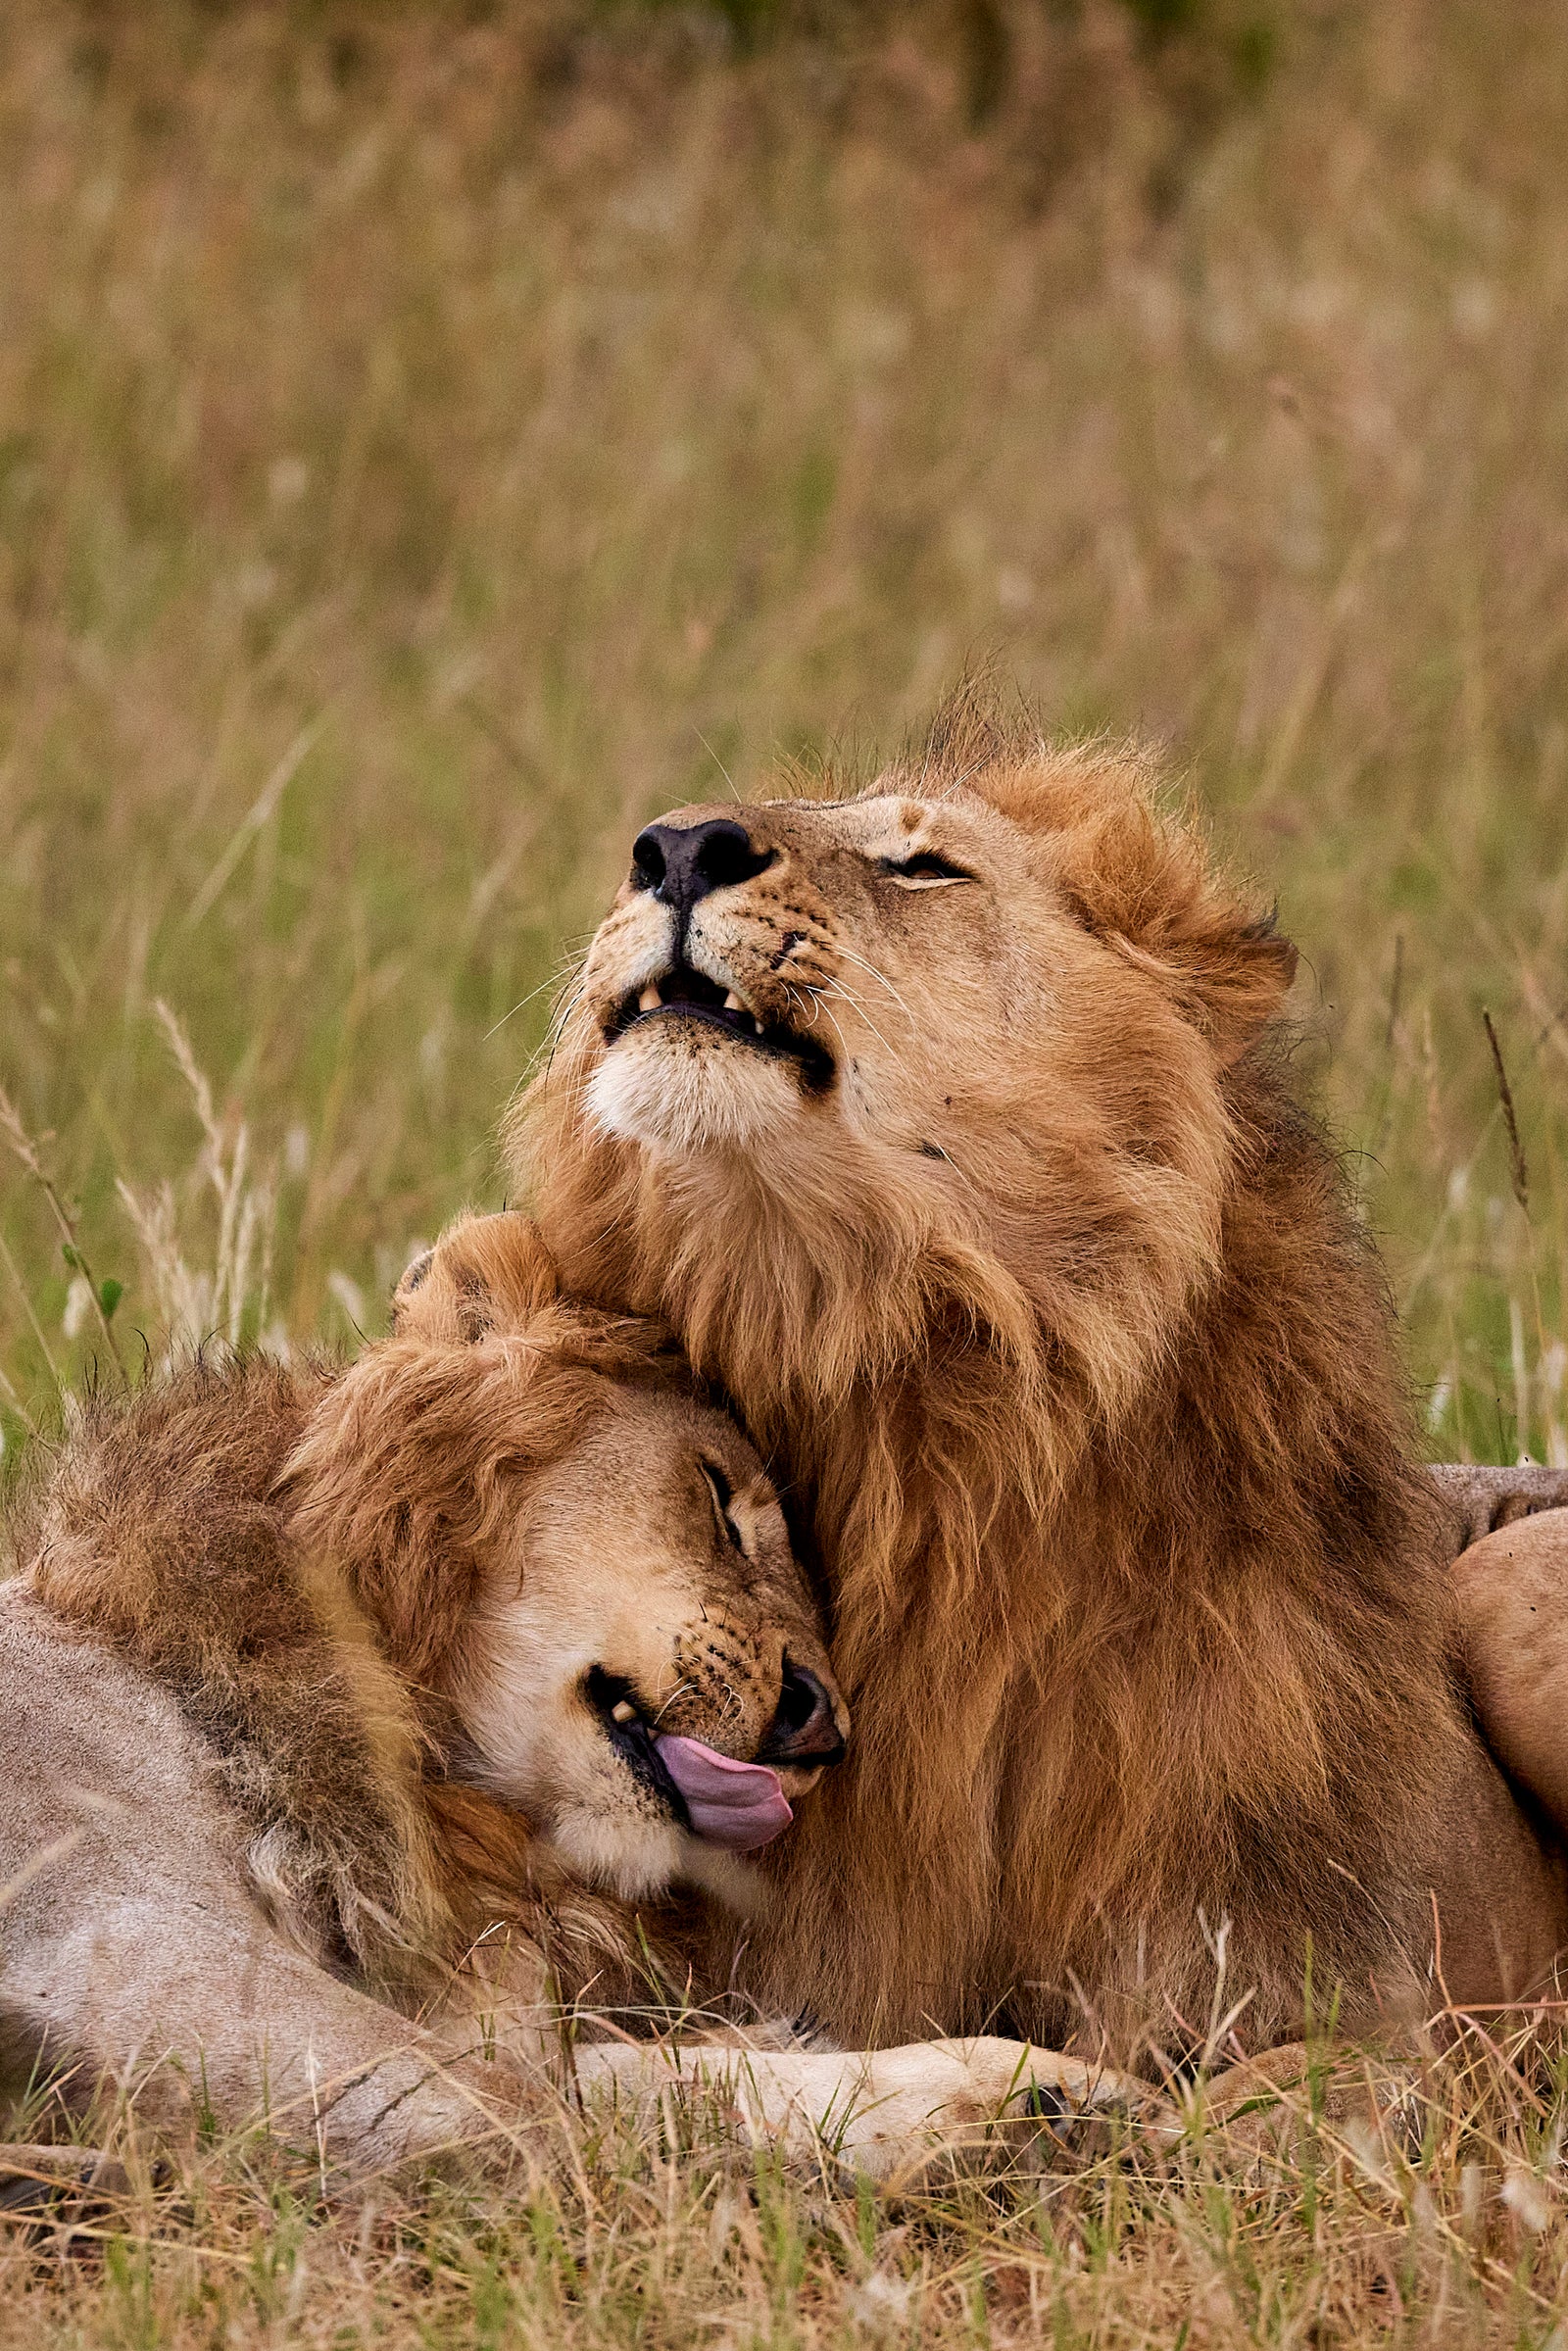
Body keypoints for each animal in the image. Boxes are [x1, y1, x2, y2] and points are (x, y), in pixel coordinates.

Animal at [0, 1211, 1138, 2186]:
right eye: (720, 1502)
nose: (825, 1728)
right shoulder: (146, 1957)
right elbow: (557, 2119)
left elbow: (630, 2077)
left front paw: (1043, 2098)